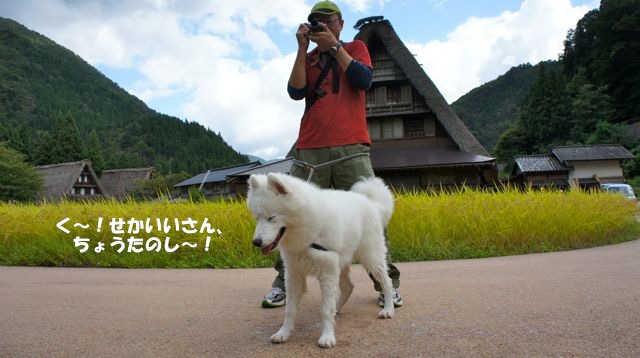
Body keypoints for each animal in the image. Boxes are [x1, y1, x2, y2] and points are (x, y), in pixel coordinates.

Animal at [246, 173, 392, 346]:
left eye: (272, 217)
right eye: (257, 218)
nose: (256, 242)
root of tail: (371, 203)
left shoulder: (327, 273)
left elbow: (325, 309)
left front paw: (327, 337)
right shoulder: (294, 274)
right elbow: (290, 309)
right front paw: (283, 333)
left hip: (371, 258)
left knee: (386, 281)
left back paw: (388, 309)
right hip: (340, 264)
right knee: (348, 287)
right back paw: (338, 308)